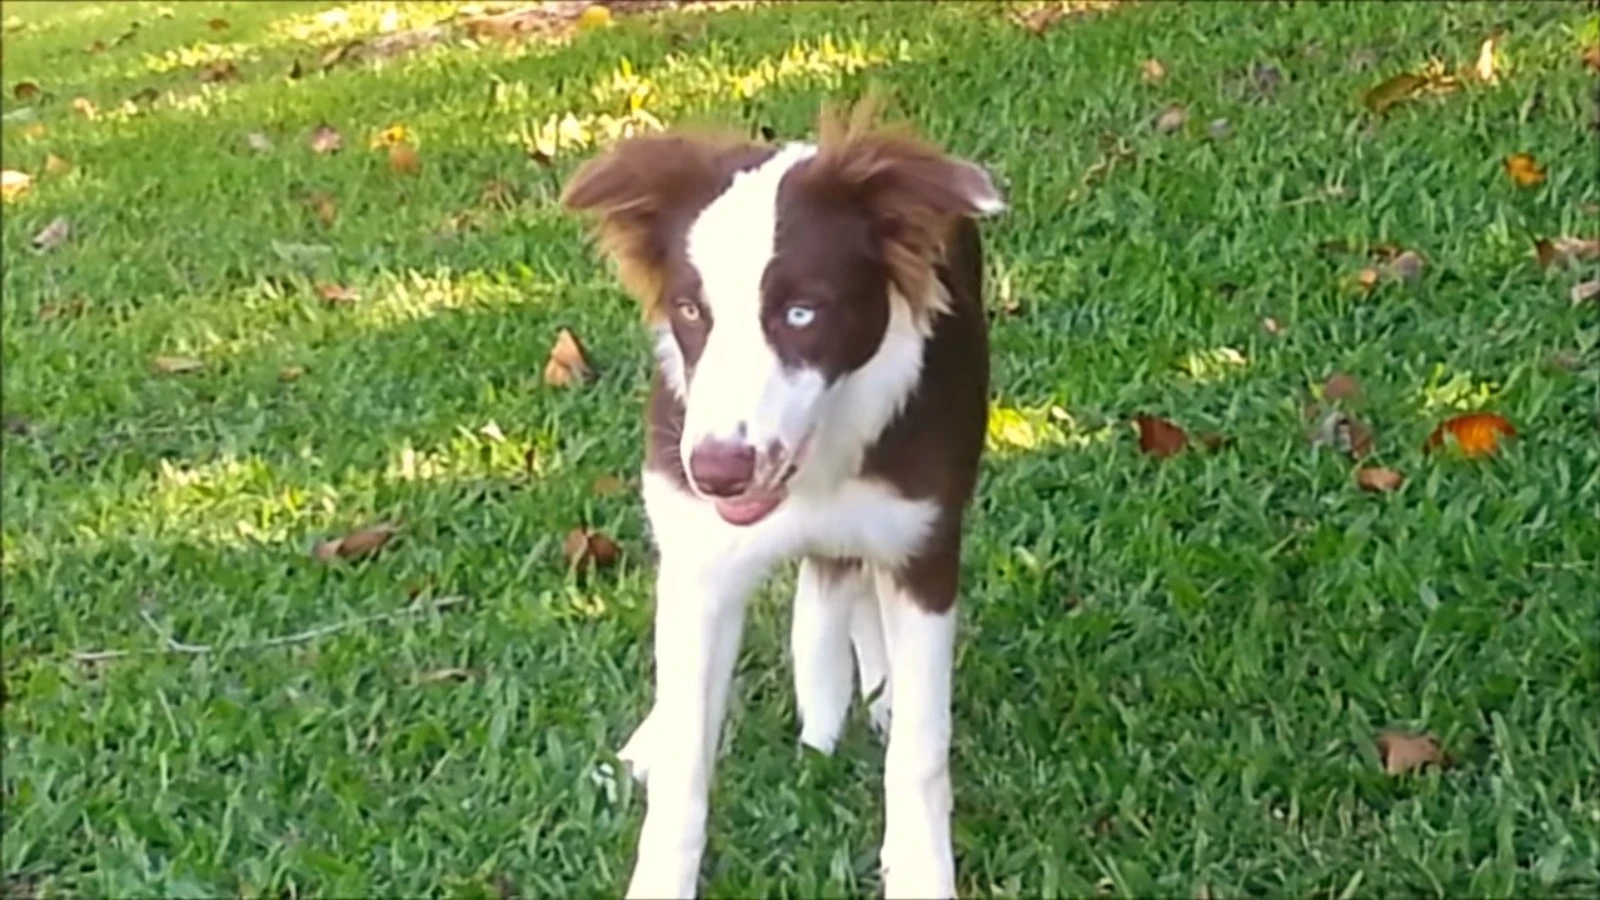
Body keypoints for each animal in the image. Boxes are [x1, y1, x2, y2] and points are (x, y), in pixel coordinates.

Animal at [563, 98, 1004, 896]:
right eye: (691, 312)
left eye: (804, 312)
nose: (718, 472)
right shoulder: (700, 558)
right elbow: (685, 770)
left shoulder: (923, 546)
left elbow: (920, 751)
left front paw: (918, 869)